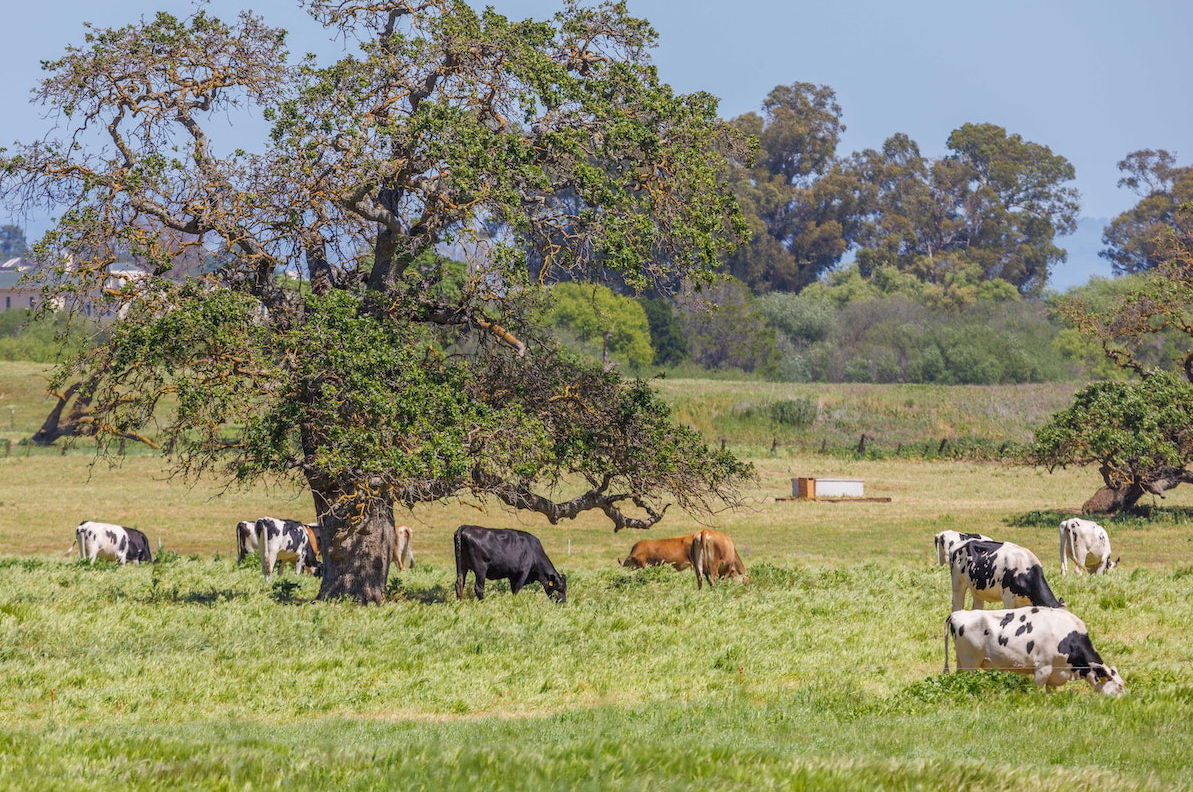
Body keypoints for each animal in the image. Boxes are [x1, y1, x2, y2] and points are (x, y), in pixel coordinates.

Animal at [944, 606, 1125, 696]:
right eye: (1120, 686)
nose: (1123, 702)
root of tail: (958, 613)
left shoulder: (1055, 673)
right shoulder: (1043, 668)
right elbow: (1037, 690)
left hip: (962, 660)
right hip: (970, 662)